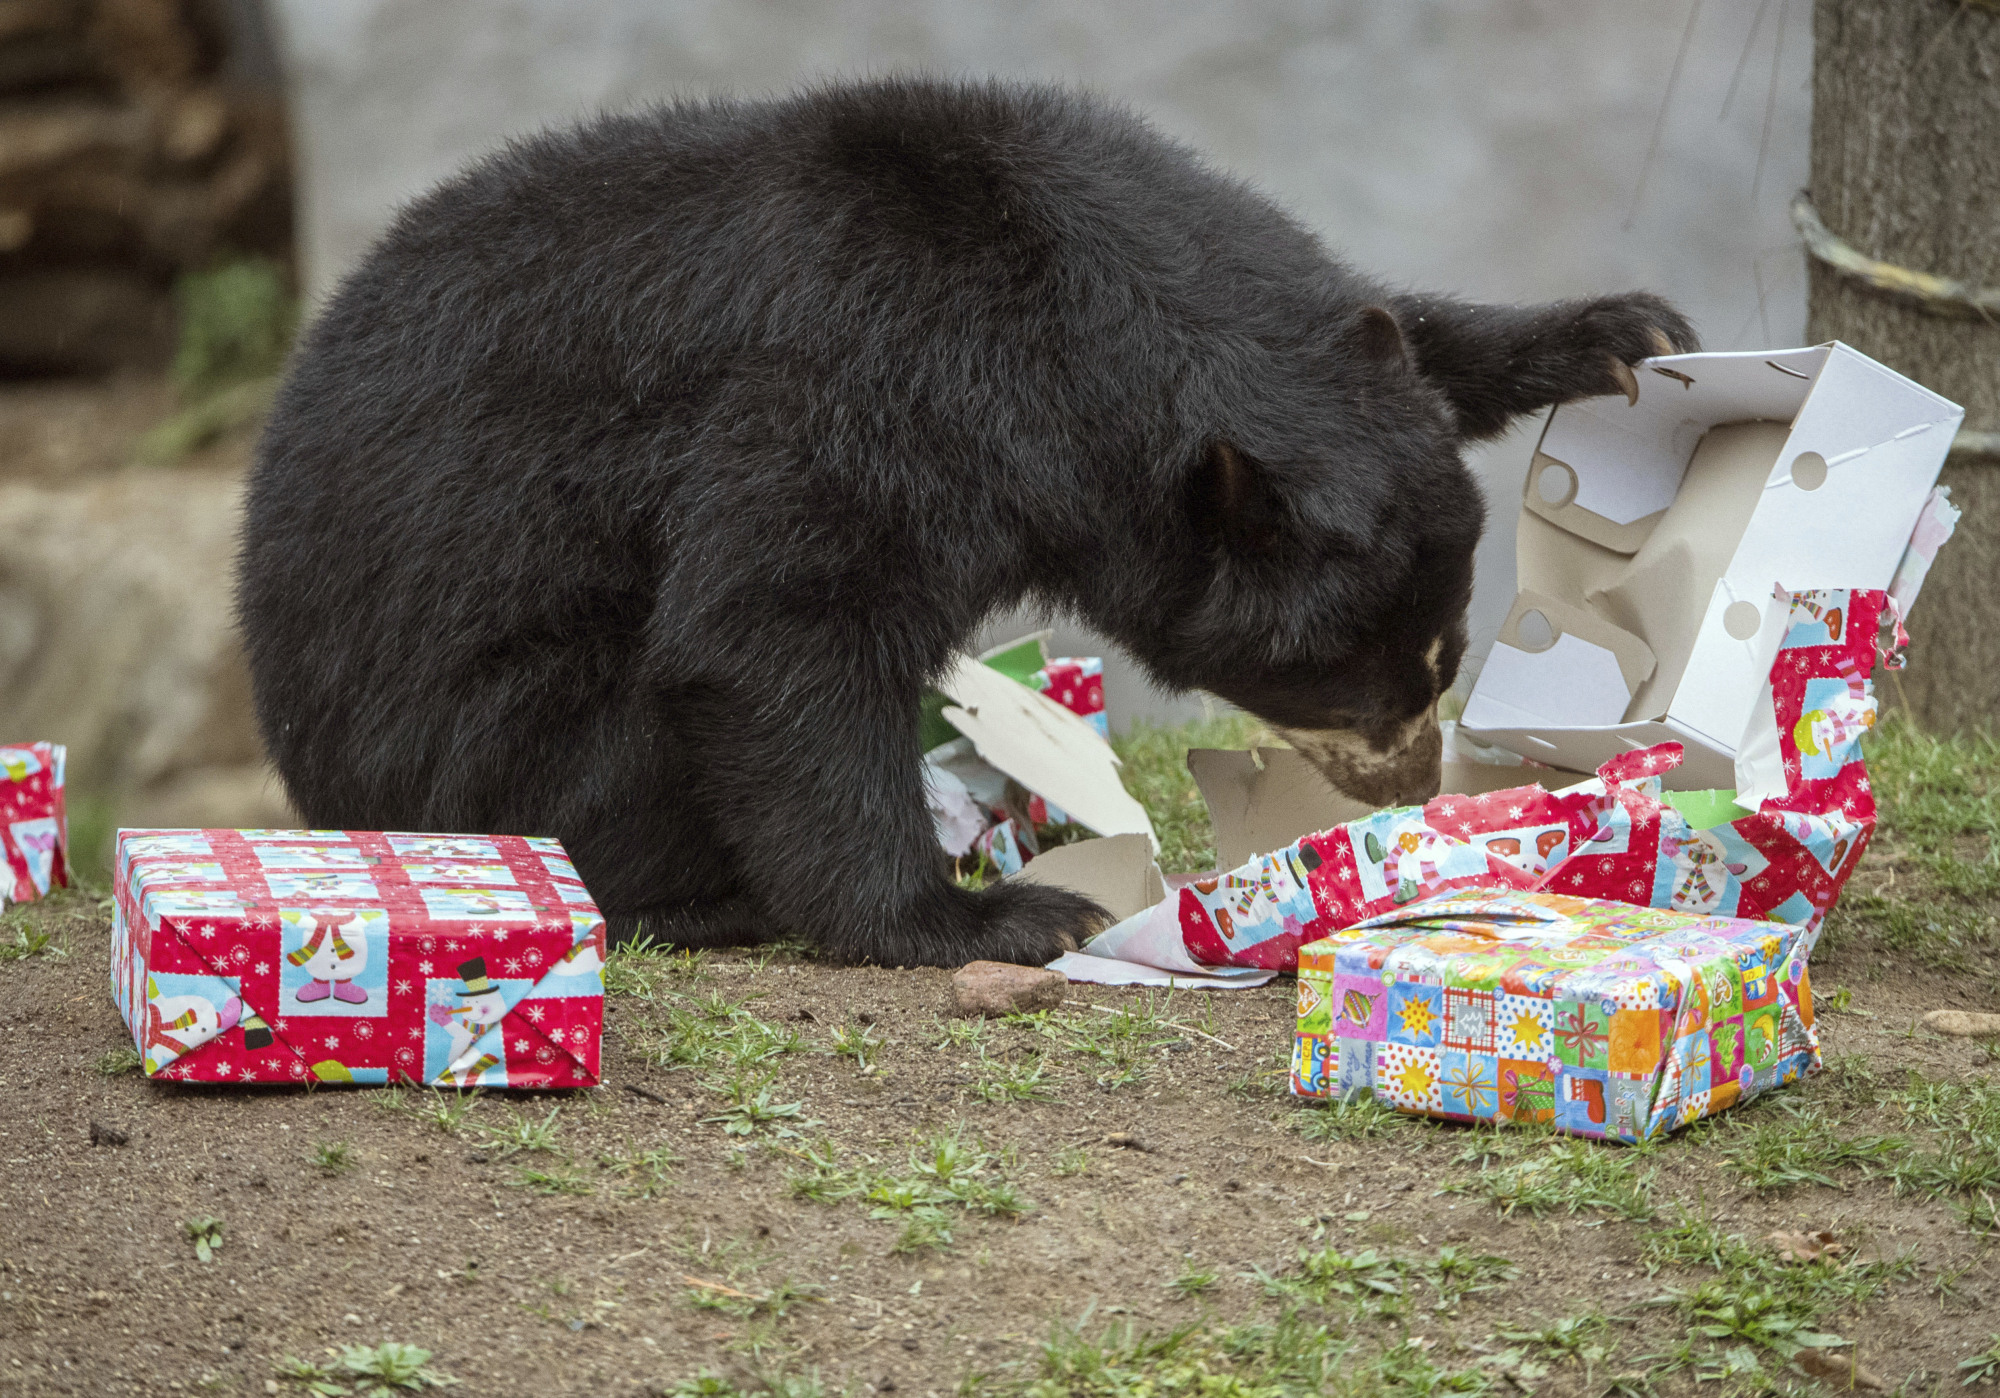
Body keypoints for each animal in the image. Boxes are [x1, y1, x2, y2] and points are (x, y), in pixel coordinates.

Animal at [242, 76, 1696, 968]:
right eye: (1336, 676)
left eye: (1442, 652)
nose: (1402, 781)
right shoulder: (857, 389)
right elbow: (773, 626)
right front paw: (984, 914)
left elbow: (1404, 328)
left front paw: (1618, 335)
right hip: (492, 749)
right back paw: (706, 899)